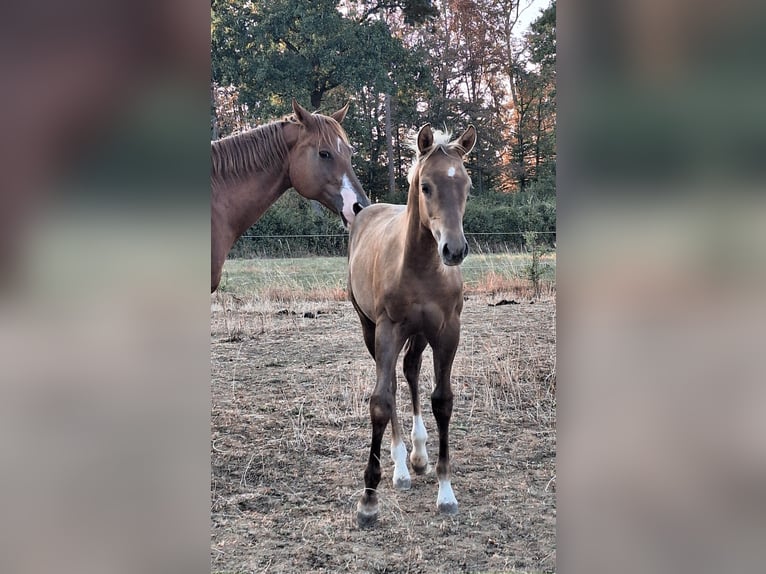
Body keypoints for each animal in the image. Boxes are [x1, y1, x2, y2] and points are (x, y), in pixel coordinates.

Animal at [347, 123, 477, 526]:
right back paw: (402, 466)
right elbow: (381, 400)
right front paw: (368, 500)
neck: (421, 267)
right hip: (370, 327)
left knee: (411, 371)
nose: (454, 249)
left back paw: (418, 456)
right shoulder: (388, 328)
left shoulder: (448, 331)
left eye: (466, 185)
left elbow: (442, 401)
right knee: (390, 379)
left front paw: (446, 491)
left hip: (419, 334)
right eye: (426, 186)